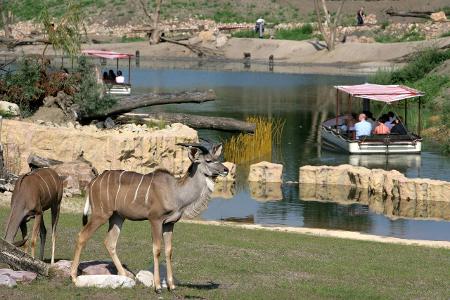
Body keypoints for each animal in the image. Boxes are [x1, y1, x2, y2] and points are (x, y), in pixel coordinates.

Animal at [72, 142, 230, 292]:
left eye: (218, 159)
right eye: (208, 160)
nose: (226, 170)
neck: (176, 192)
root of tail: (92, 182)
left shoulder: (170, 223)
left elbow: (169, 251)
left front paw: (171, 286)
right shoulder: (155, 220)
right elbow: (157, 249)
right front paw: (158, 286)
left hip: (117, 217)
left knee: (110, 242)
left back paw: (124, 275)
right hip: (101, 214)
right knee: (82, 235)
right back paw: (74, 276)